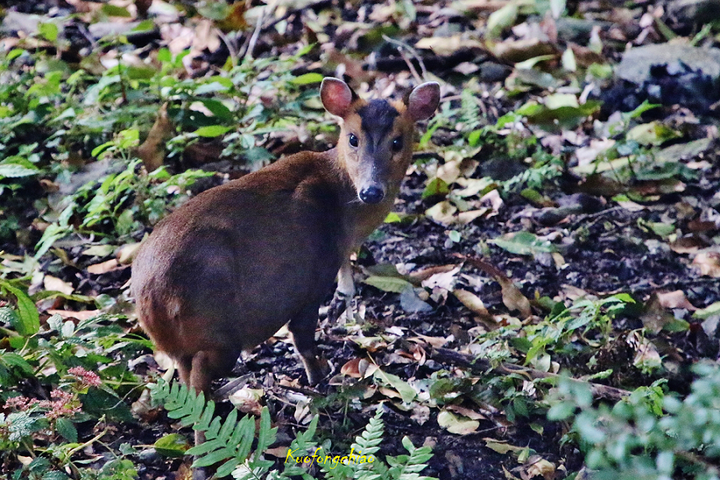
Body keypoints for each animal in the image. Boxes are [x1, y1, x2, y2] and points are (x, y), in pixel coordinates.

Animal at [132, 77, 442, 396]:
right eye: (353, 138)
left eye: (397, 141)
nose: (371, 191)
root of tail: (153, 298)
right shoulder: (312, 280)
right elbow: (302, 337)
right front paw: (318, 377)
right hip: (217, 327)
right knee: (200, 377)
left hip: (178, 343)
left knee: (183, 372)